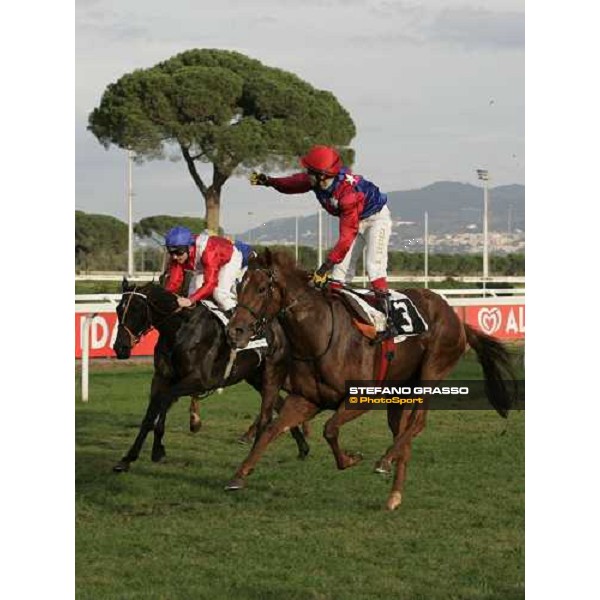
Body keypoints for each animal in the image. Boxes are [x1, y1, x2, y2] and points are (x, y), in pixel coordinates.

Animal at [225, 250, 516, 510]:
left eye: (262, 288)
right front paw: (238, 475)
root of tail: (456, 317)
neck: (320, 334)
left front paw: (351, 459)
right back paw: (394, 495)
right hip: (400, 392)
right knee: (403, 436)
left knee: (418, 423)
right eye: (239, 286)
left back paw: (385, 460)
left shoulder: (362, 397)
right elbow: (272, 430)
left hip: (432, 371)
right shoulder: (306, 399)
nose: (234, 330)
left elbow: (329, 429)